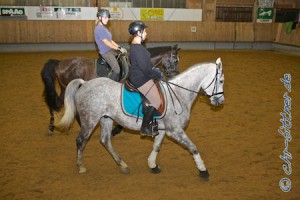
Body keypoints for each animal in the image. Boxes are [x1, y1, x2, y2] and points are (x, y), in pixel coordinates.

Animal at [40, 44, 179, 134]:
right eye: (175, 60)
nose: (175, 74)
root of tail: (60, 63)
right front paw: (116, 129)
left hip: (65, 88)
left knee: (57, 103)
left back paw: (54, 125)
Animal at [57, 57, 224, 180]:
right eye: (221, 81)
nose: (220, 101)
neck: (178, 94)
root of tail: (84, 83)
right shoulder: (175, 130)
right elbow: (193, 148)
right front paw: (203, 170)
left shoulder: (163, 129)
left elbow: (156, 146)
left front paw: (152, 165)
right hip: (90, 120)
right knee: (81, 140)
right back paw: (81, 166)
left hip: (106, 118)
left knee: (105, 140)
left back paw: (123, 165)